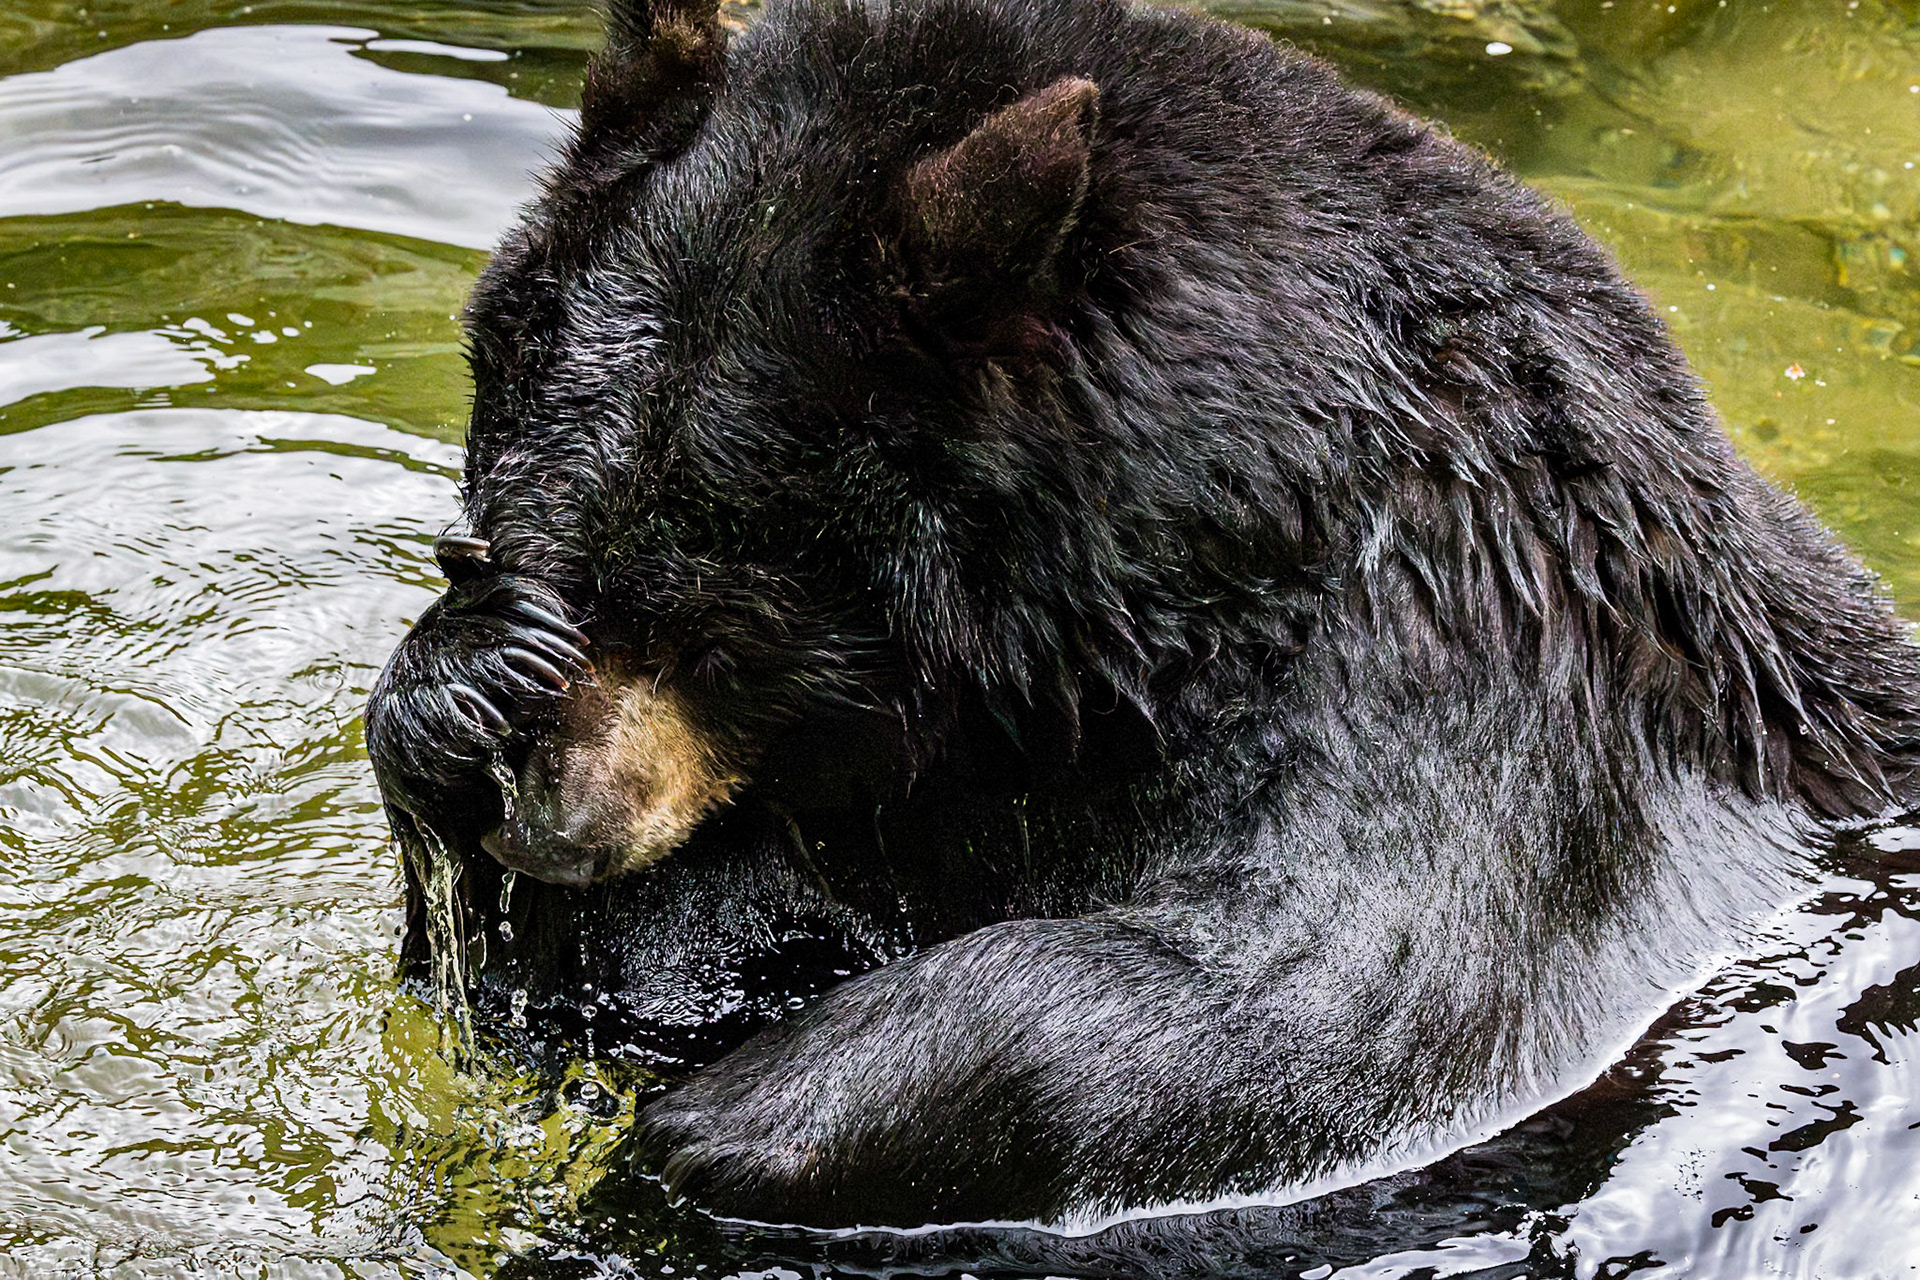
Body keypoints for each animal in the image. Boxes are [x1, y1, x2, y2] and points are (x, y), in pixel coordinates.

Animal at [363, 0, 1920, 1231]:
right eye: (488, 534)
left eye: (710, 618)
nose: (547, 821)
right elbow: (603, 983)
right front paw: (460, 690)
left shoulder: (1478, 664)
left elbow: (1337, 997)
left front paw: (724, 1119)